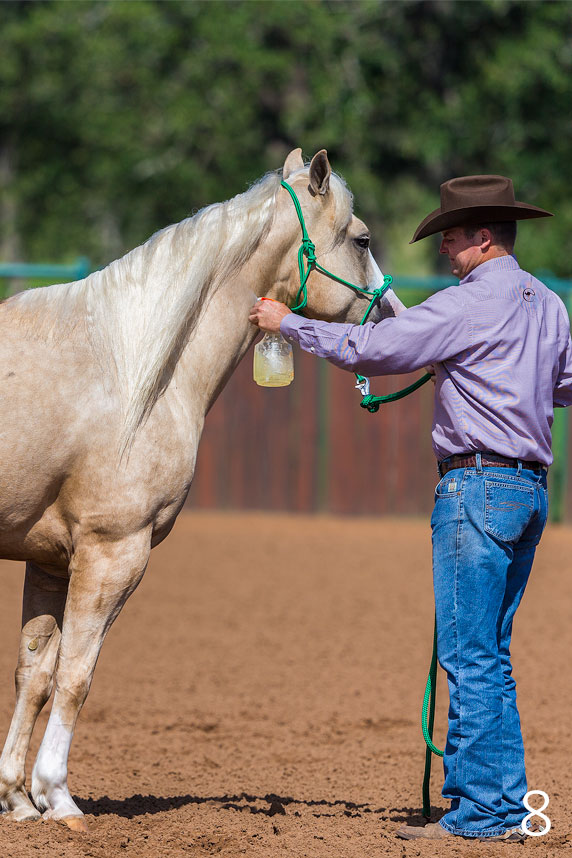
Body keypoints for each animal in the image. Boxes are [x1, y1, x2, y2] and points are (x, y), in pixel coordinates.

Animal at [0, 148, 404, 831]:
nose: (394, 314)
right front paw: (59, 797)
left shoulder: (51, 560)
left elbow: (36, 672)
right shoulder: (113, 551)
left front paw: (19, 800)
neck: (131, 372)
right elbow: (77, 675)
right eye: (362, 239)